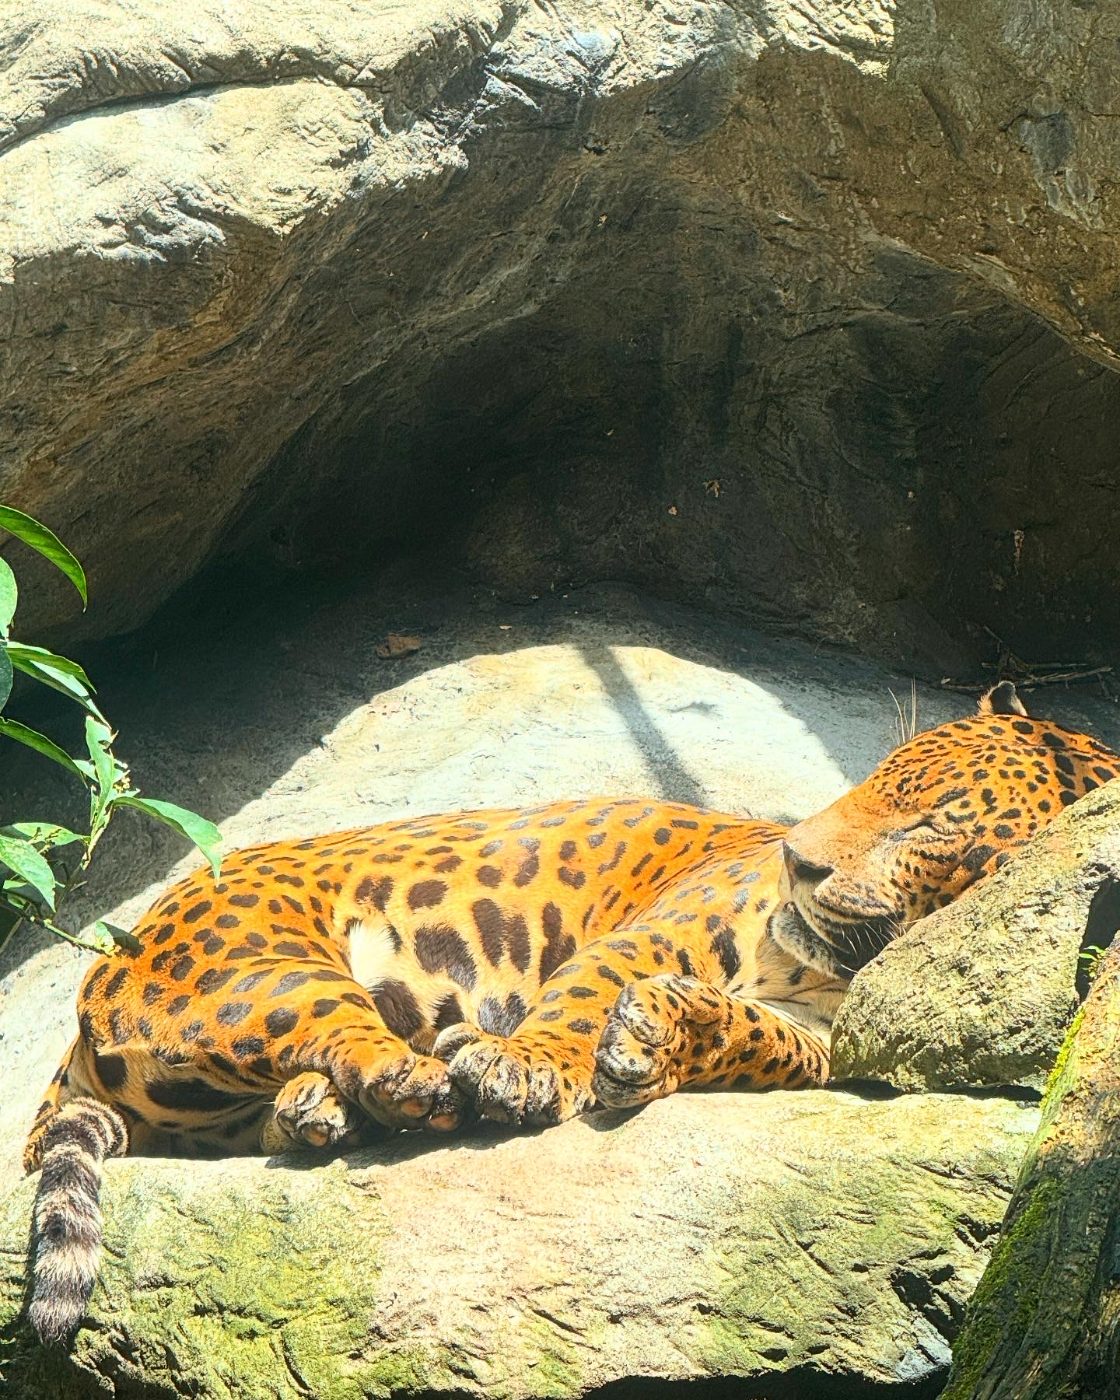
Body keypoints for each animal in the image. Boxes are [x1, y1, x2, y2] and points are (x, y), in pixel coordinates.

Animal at [24, 680, 1118, 1345]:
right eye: (870, 780)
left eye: (926, 824)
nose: (795, 859)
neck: (831, 973)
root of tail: (104, 969)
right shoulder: (652, 933)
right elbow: (585, 992)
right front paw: (530, 1063)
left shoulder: (821, 1039)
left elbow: (751, 1037)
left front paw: (655, 1043)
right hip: (272, 967)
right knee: (353, 1037)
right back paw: (428, 1075)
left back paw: (318, 1110)